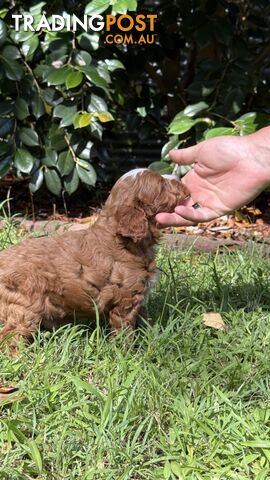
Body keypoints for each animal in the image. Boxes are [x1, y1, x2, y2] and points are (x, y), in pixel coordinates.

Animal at [0, 169, 189, 352]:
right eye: (162, 186)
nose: (179, 177)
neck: (121, 239)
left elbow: (145, 321)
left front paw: (154, 337)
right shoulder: (125, 299)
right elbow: (125, 329)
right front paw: (128, 352)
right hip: (24, 307)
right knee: (10, 336)